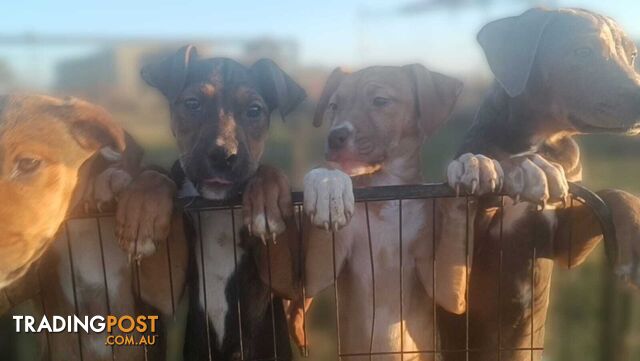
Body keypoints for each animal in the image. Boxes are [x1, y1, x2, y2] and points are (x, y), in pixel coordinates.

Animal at [298, 65, 502, 360]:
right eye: (334, 106)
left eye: (380, 101)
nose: (334, 136)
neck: (387, 196)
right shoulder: (314, 276)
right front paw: (327, 184)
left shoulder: (450, 292)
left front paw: (472, 163)